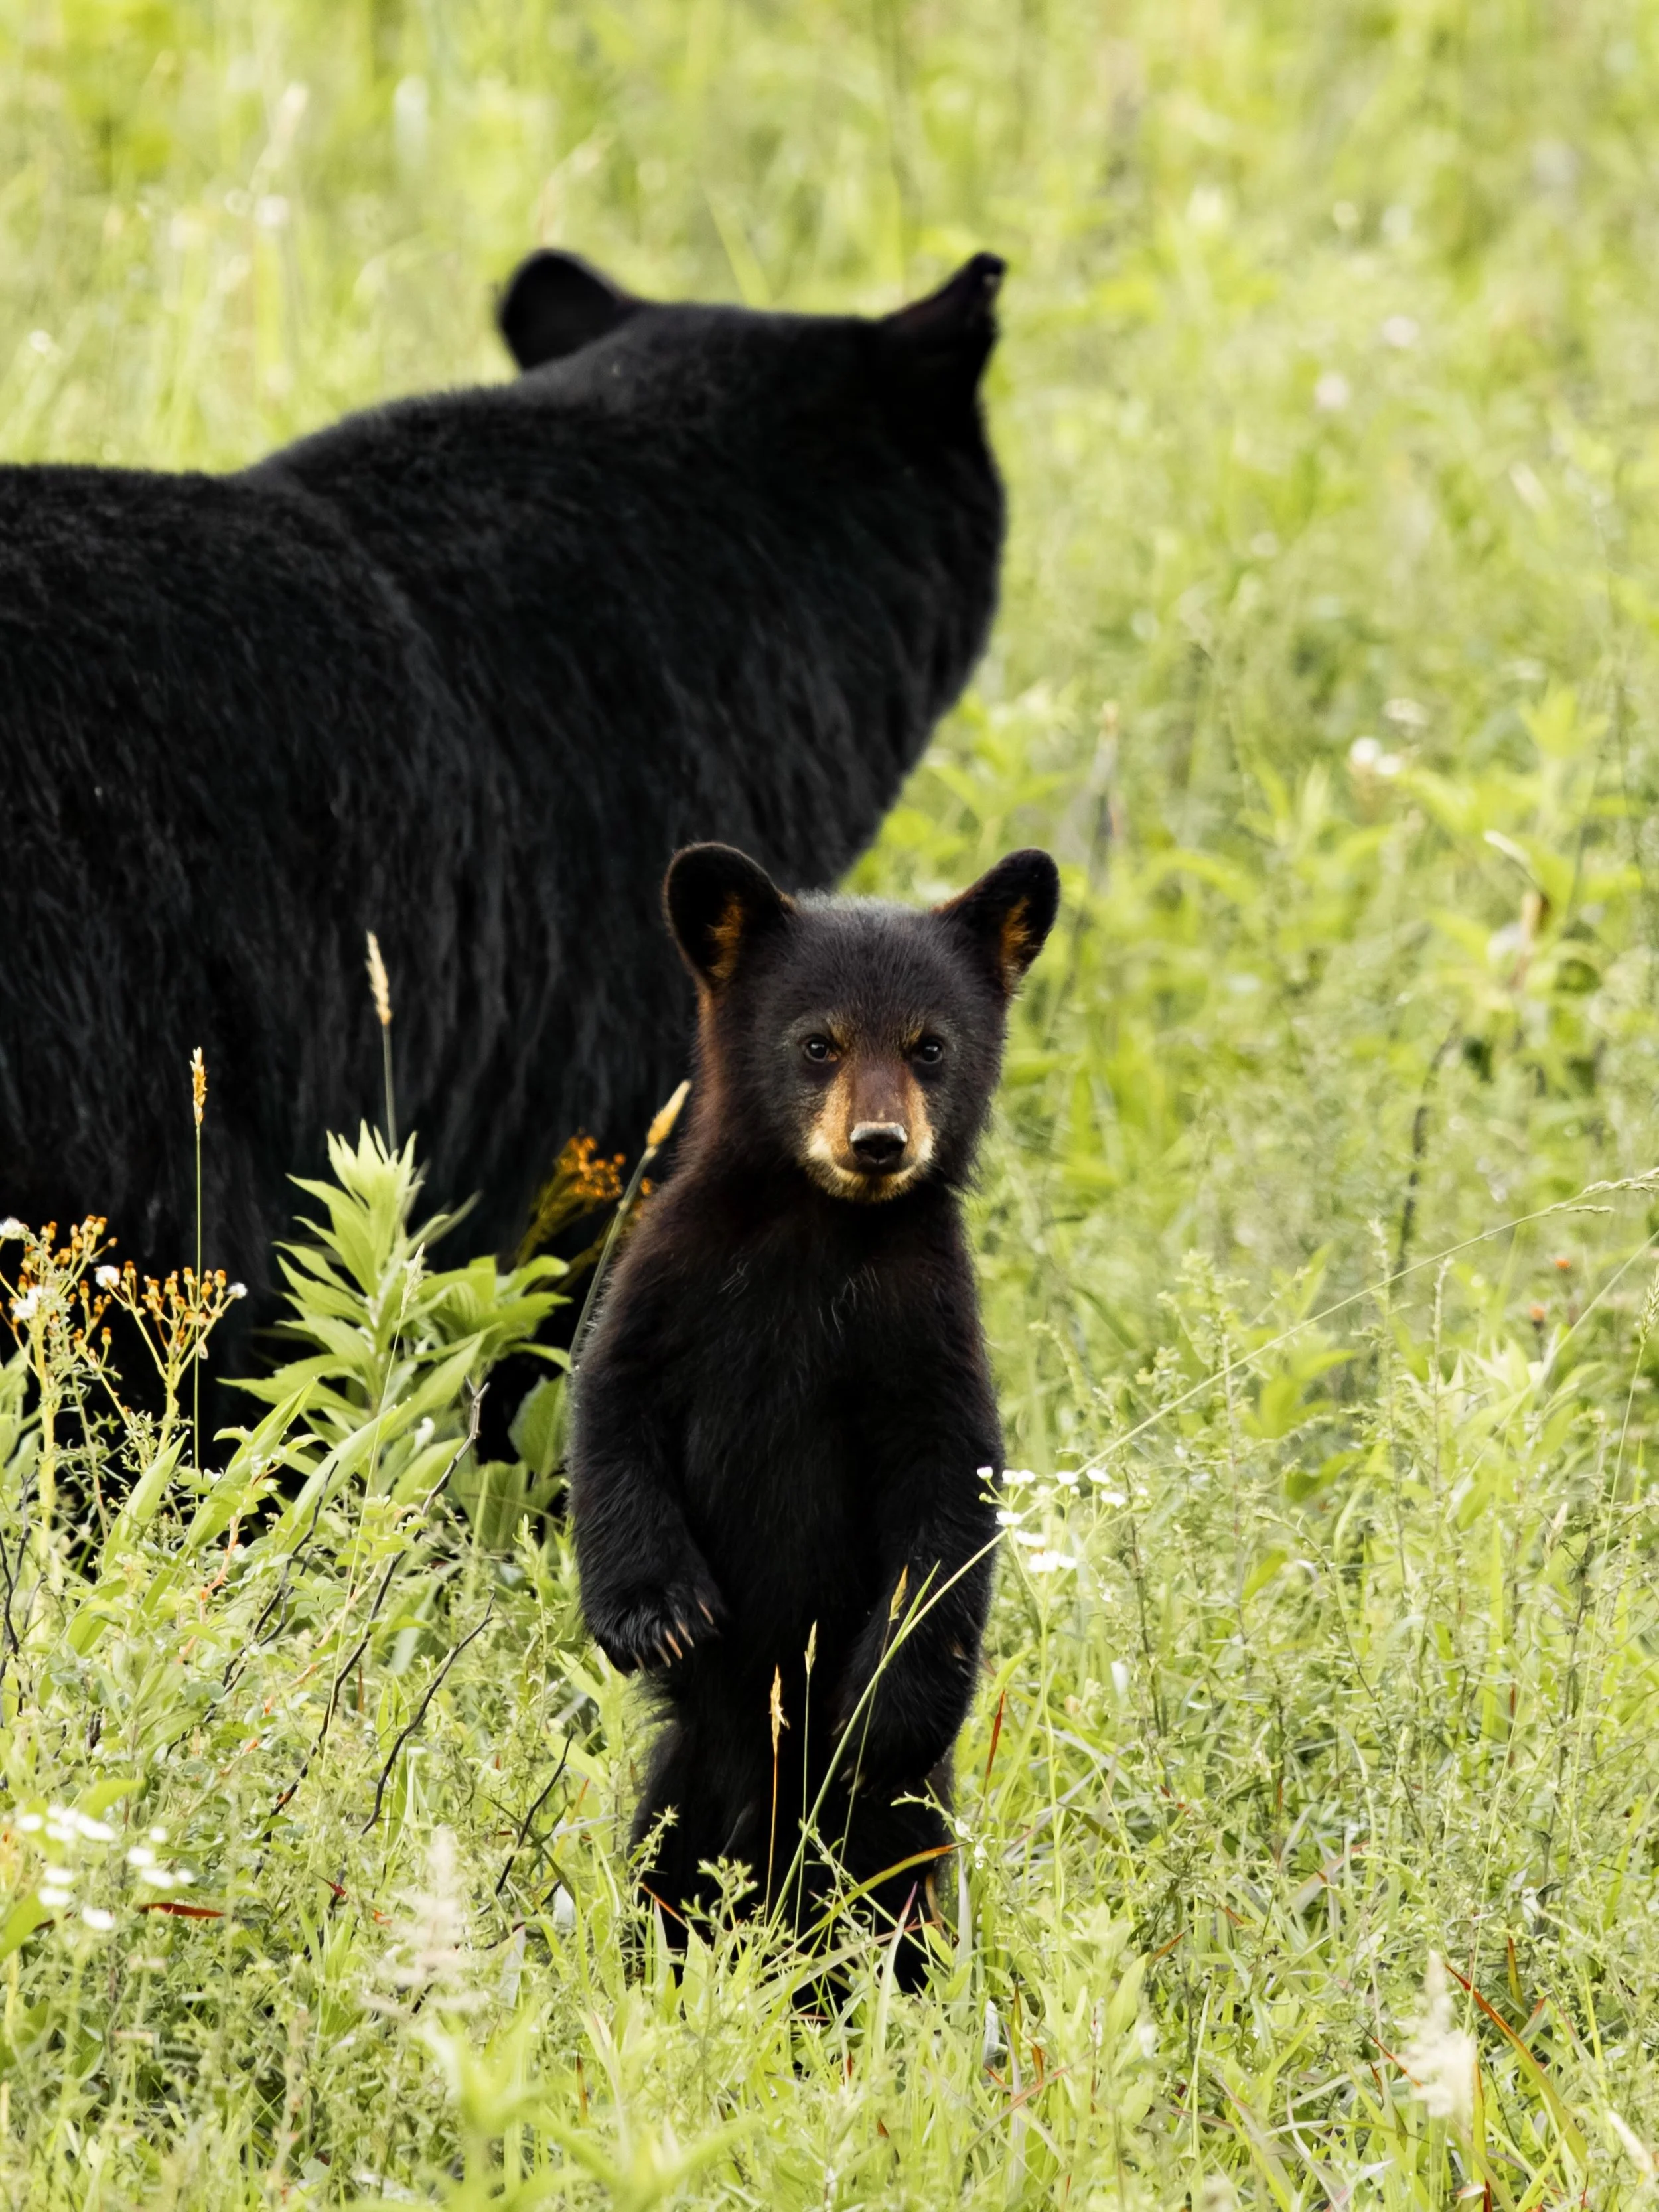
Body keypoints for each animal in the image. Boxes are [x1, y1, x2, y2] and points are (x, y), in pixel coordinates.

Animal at [568, 837, 1059, 1986]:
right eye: (818, 1042)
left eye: (930, 1046)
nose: (878, 1142)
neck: (817, 1230)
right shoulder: (671, 1279)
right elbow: (612, 1414)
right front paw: (657, 1609)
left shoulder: (925, 1329)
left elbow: (950, 1497)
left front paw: (881, 1703)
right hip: (686, 1784)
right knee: (667, 1876)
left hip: (892, 1830)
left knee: (891, 1890)